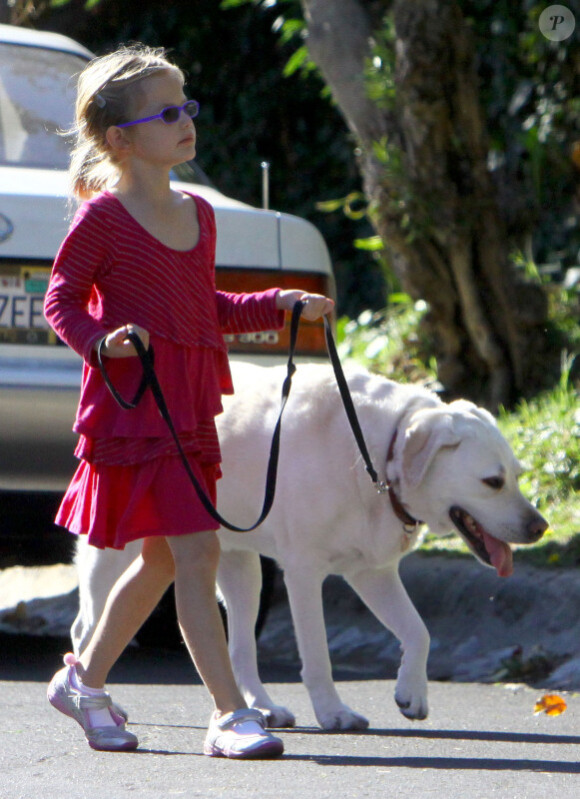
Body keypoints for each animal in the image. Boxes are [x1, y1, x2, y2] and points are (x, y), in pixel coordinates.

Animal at [72, 362, 548, 732]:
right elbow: (318, 654)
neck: (378, 455)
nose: (541, 527)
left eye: (518, 475)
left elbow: (419, 631)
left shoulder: (372, 573)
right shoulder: (304, 573)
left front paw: (411, 692)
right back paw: (99, 699)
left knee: (239, 647)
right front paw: (334, 713)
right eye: (493, 481)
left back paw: (263, 707)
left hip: (240, 568)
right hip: (114, 554)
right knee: (88, 626)